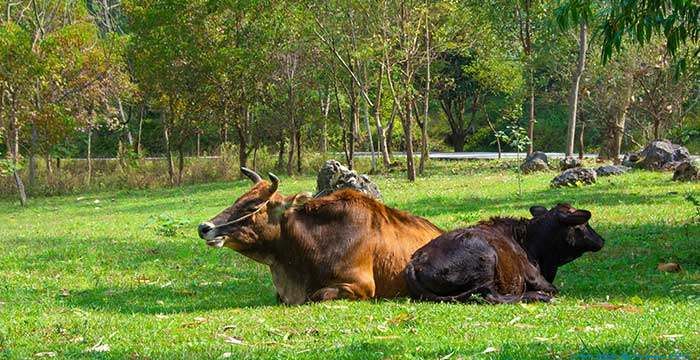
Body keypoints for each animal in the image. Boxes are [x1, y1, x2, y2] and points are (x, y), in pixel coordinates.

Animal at [402, 204, 604, 302]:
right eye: (583, 225)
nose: (601, 239)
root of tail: (416, 260)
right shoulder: (535, 277)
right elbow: (554, 289)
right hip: (486, 259)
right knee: (490, 296)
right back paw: (537, 297)